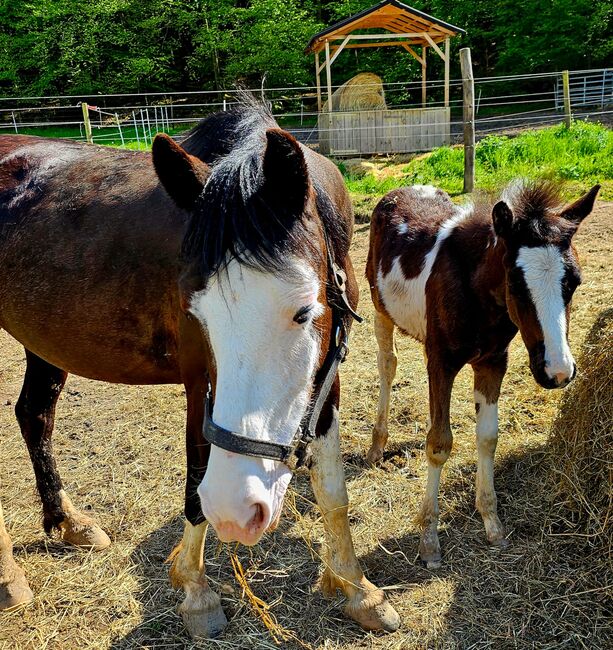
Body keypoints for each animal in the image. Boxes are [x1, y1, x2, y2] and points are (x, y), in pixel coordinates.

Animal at [0, 104, 400, 636]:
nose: (239, 511)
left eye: (304, 312)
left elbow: (333, 489)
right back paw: (8, 574)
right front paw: (195, 591)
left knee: (34, 415)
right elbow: (195, 482)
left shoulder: (325, 373)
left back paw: (68, 522)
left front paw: (359, 589)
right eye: (198, 314)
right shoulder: (199, 381)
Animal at [364, 178, 596, 568]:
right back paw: (377, 444)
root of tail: (407, 187)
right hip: (381, 309)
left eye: (575, 281)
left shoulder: (493, 361)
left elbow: (488, 437)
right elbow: (439, 443)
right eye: (515, 282)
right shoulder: (440, 361)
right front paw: (429, 541)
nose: (558, 372)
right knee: (387, 364)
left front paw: (492, 522)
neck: (476, 295)